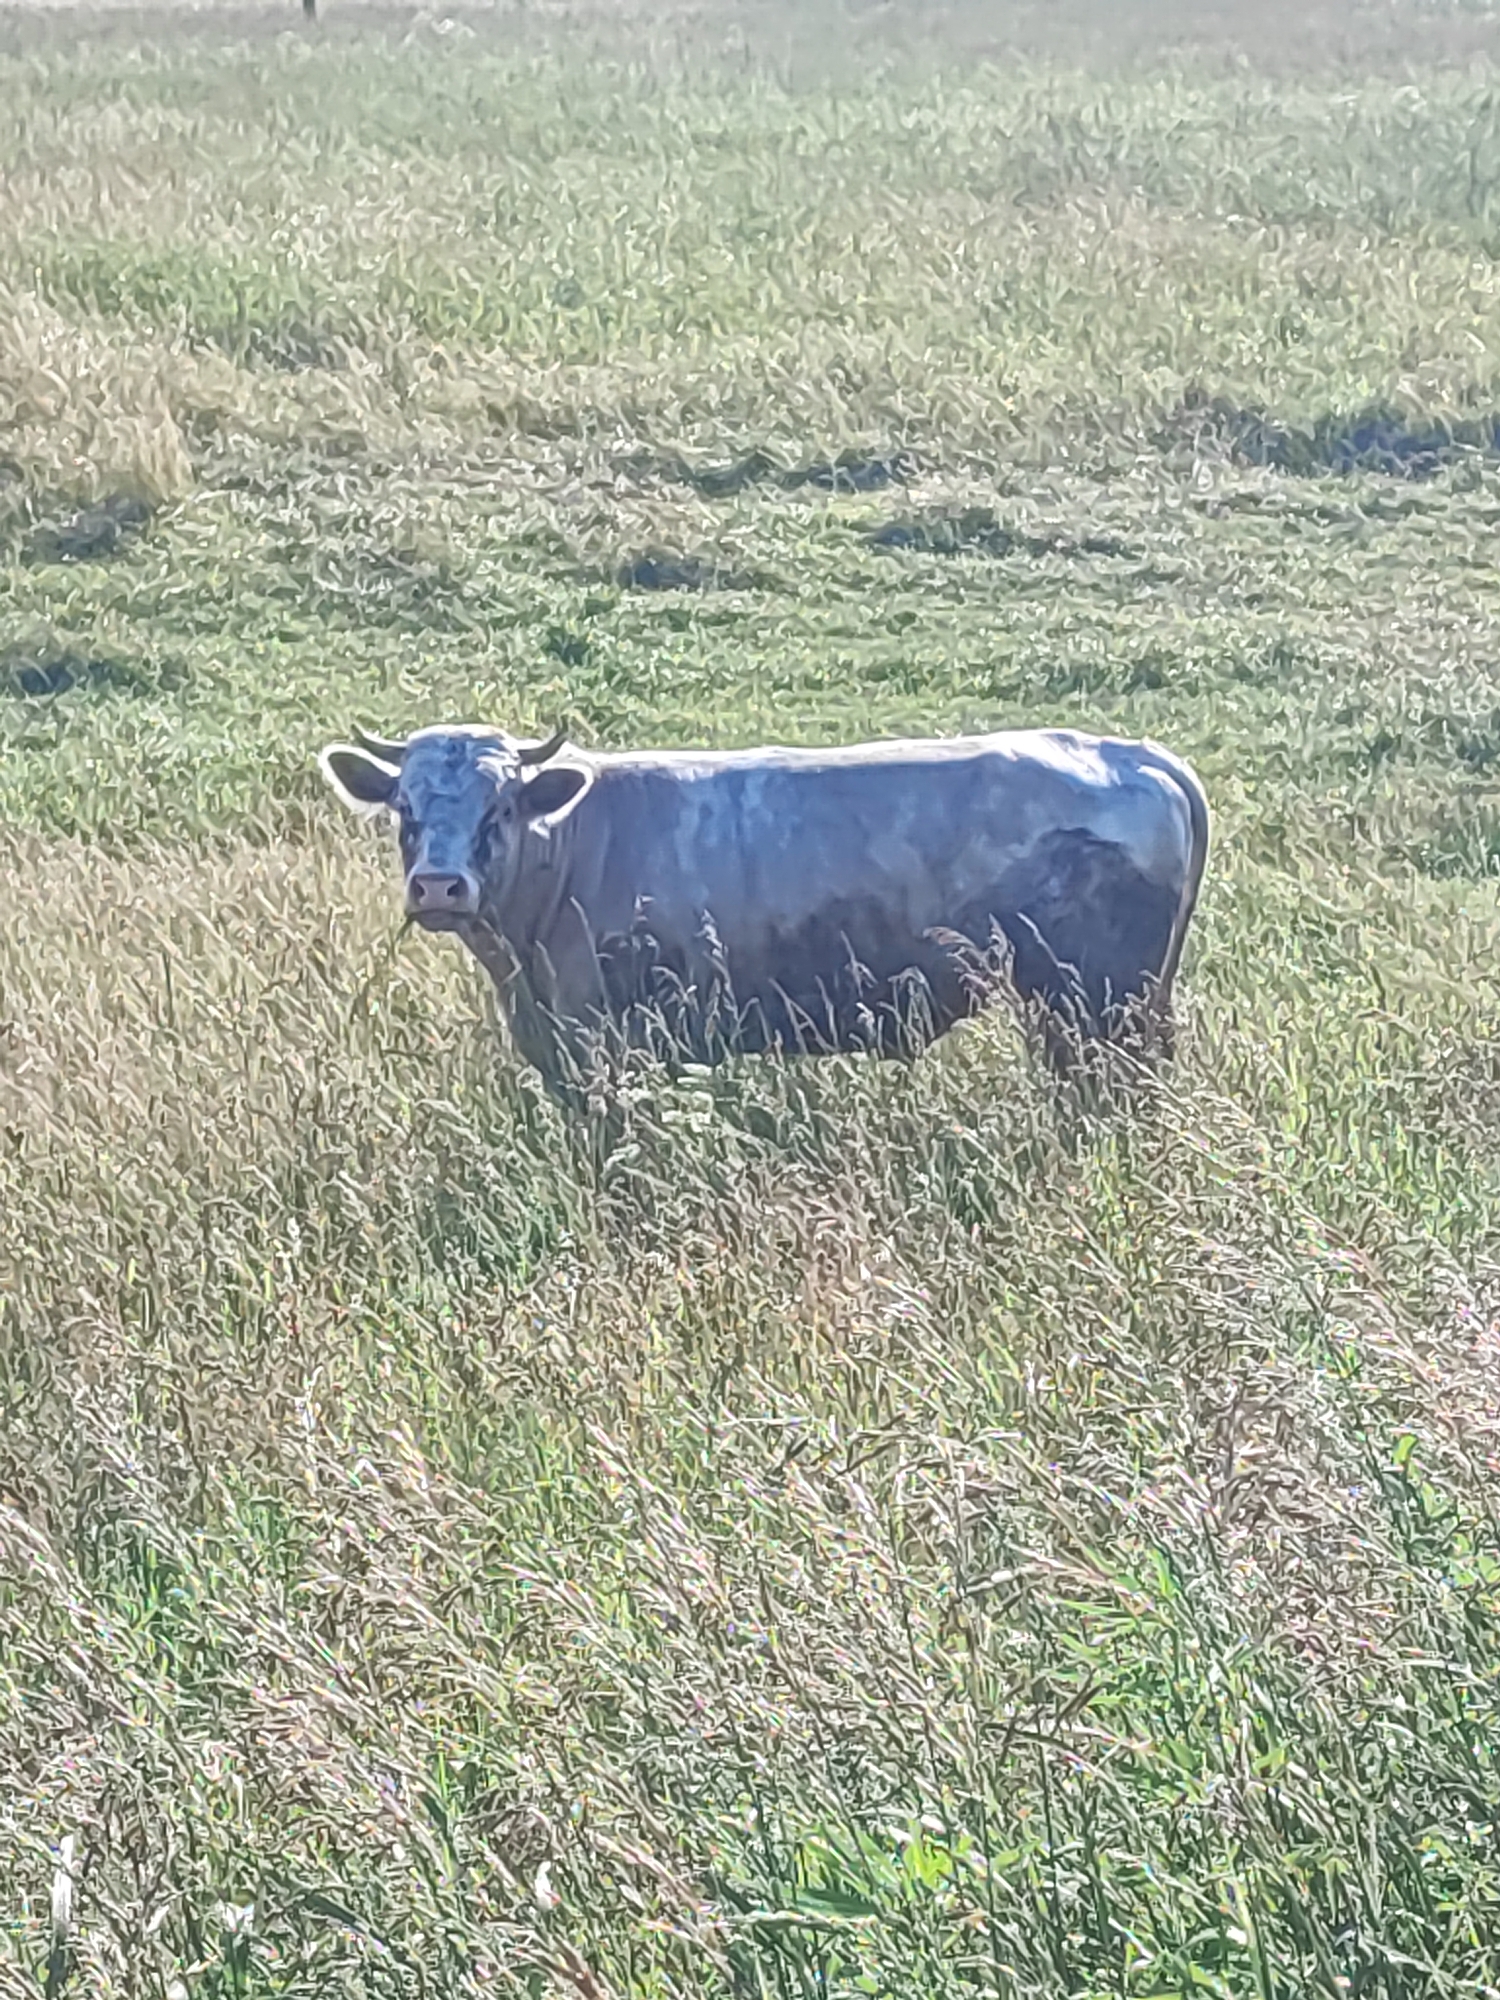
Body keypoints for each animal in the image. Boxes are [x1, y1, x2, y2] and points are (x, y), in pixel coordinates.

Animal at [318, 722, 1210, 1102]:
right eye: (403, 808)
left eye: (500, 807)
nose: (440, 886)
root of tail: (1134, 754)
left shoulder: (619, 1041)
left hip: (1098, 1006)